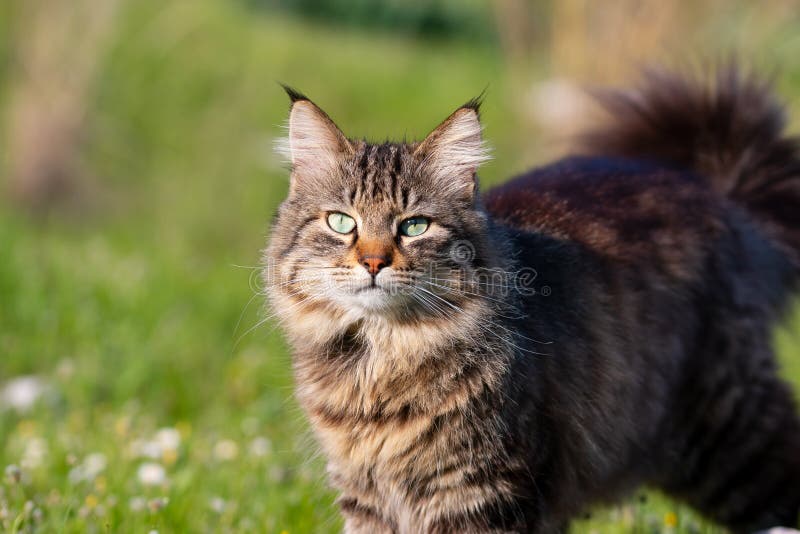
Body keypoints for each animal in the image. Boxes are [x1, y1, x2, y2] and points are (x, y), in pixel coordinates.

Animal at [262, 69, 800, 532]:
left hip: (729, 432)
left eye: (414, 226)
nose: (374, 262)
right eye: (341, 222)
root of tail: (707, 187)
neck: (380, 364)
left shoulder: (483, 489)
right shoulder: (368, 496)